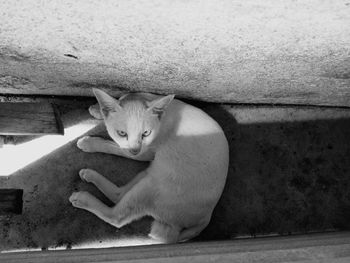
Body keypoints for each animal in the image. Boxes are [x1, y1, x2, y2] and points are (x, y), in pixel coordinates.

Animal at [70, 89, 230, 244]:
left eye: (146, 133)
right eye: (122, 133)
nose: (135, 150)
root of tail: (206, 218)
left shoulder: (144, 153)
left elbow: (114, 147)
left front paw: (90, 143)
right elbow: (121, 100)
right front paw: (98, 109)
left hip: (151, 187)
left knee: (116, 216)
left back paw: (82, 198)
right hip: (151, 174)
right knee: (118, 194)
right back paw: (89, 175)